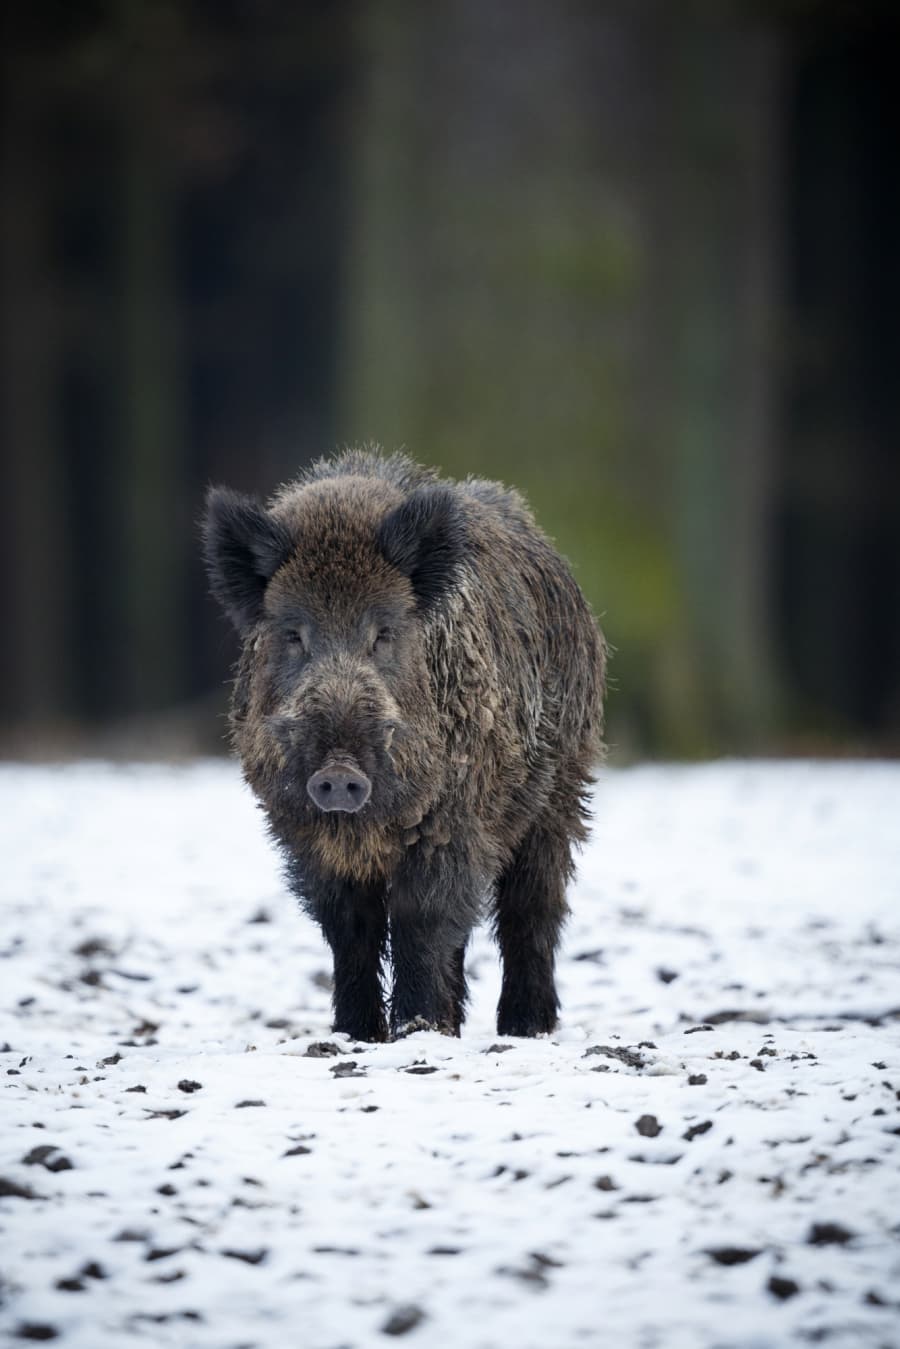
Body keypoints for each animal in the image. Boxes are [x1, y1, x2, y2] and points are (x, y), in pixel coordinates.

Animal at [203, 449, 606, 1041]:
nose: (339, 773)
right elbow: (351, 928)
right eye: (294, 634)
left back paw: (523, 1027)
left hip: (561, 792)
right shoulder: (304, 834)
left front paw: (417, 1029)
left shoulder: (453, 821)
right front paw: (357, 1034)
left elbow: (423, 919)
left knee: (531, 907)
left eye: (384, 633)